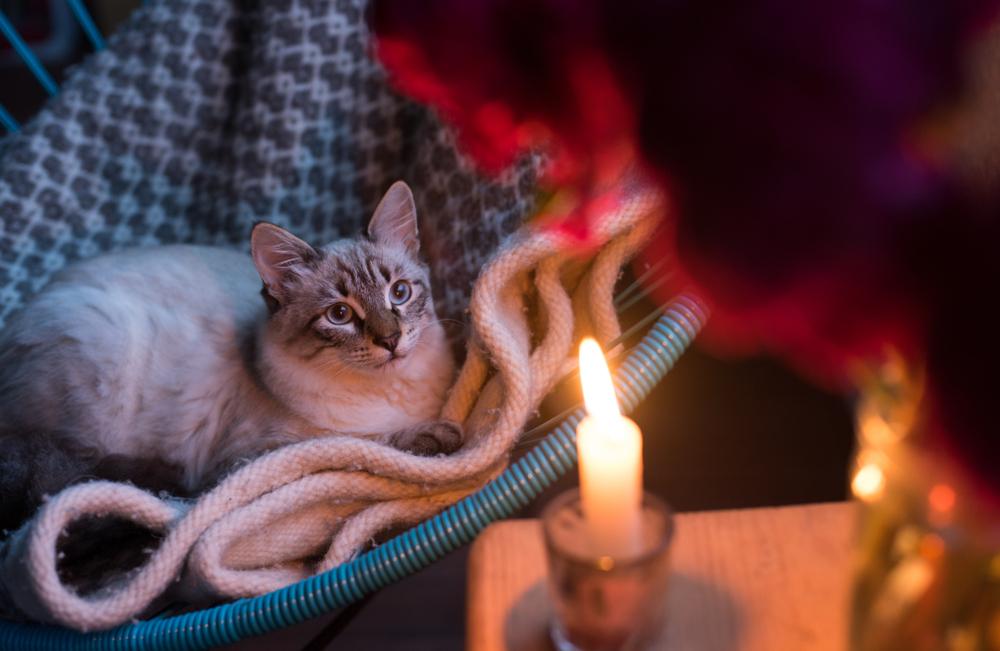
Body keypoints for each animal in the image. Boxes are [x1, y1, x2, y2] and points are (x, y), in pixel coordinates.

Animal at [0, 181, 460, 532]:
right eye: (340, 315)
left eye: (399, 293)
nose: (391, 339)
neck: (392, 392)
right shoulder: (262, 456)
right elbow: (357, 445)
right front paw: (435, 438)